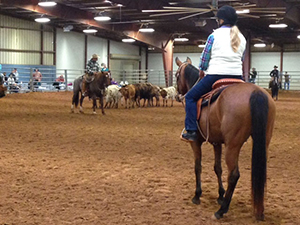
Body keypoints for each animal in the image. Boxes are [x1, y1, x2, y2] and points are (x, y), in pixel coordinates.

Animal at [176, 57, 276, 221]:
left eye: (177, 75)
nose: (178, 94)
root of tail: (255, 92)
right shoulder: (217, 142)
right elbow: (218, 168)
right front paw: (220, 195)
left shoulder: (195, 142)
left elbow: (198, 166)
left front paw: (197, 195)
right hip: (264, 141)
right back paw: (259, 212)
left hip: (233, 145)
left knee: (234, 174)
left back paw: (221, 211)